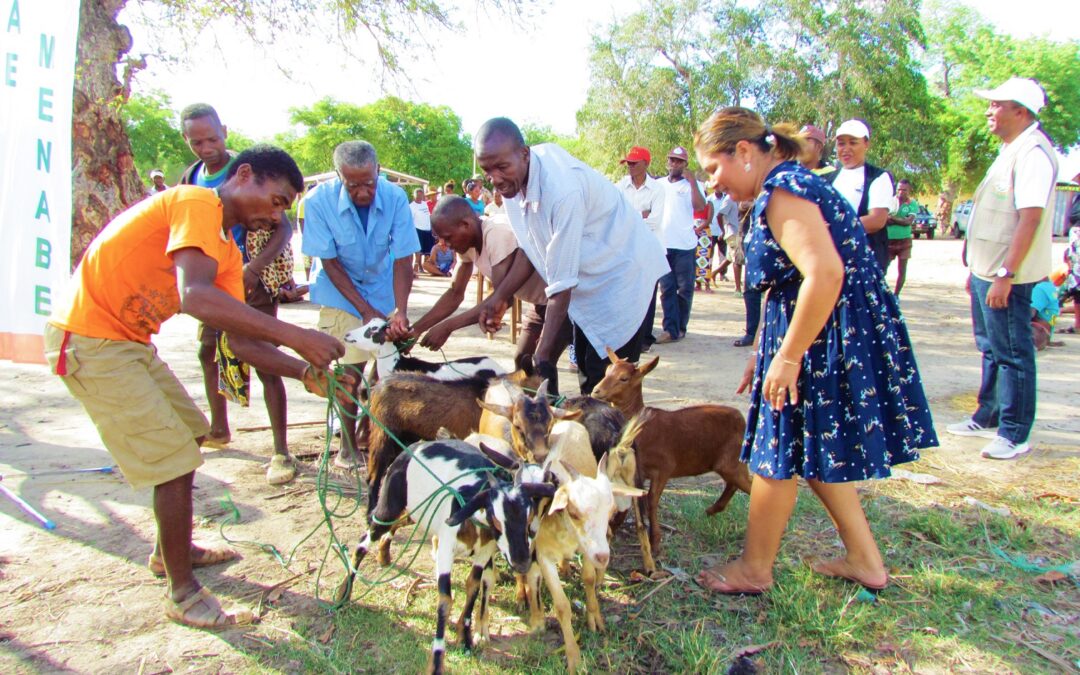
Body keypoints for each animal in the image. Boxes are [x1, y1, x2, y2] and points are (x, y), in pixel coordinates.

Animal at [591, 349, 751, 557]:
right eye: (607, 370)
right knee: (733, 484)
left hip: (732, 461)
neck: (643, 428)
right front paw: (615, 526)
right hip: (730, 464)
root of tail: (742, 418)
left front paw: (655, 542)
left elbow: (651, 500)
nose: (596, 390)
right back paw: (712, 510)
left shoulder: (664, 468)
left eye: (624, 378)